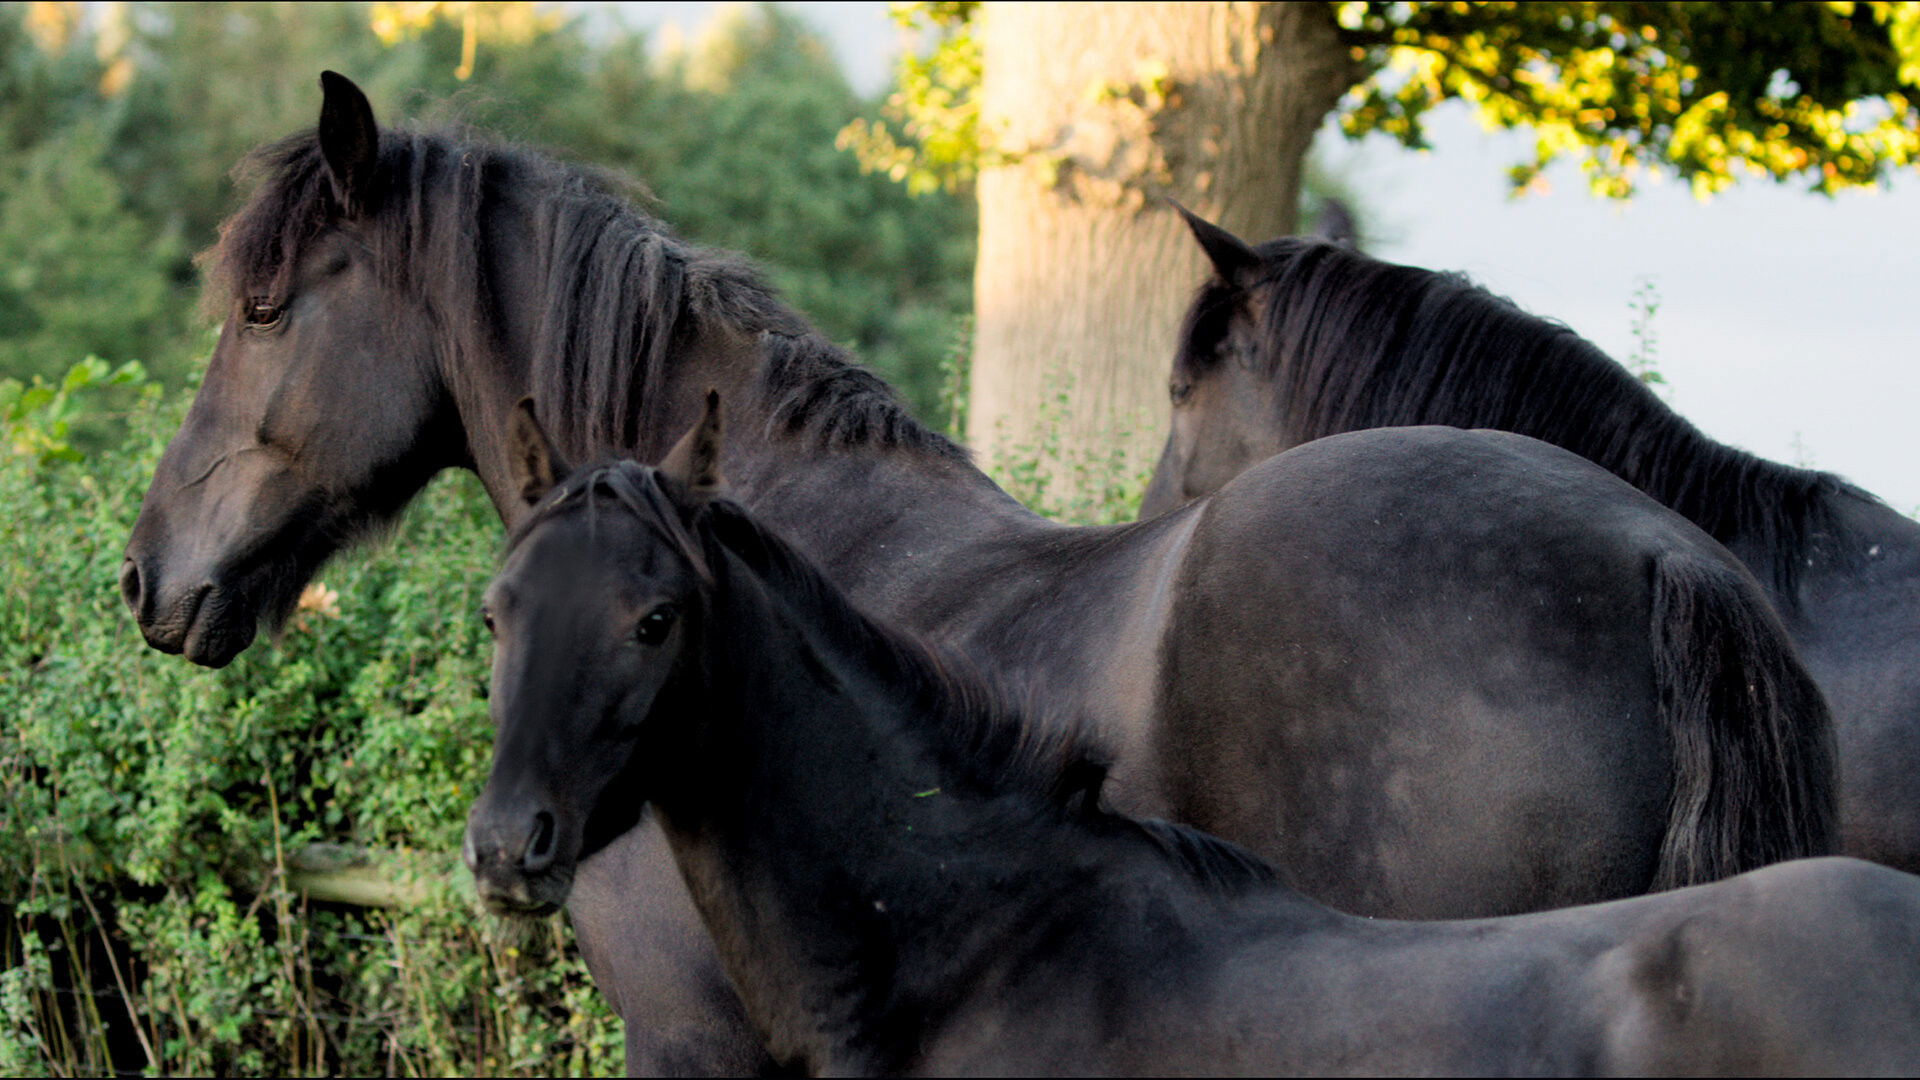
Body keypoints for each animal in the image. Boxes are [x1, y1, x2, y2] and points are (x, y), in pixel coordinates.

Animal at [469, 426, 1920, 1077]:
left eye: (654, 619)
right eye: (498, 608)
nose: (504, 846)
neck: (992, 937)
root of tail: (1663, 548)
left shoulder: (682, 1035)